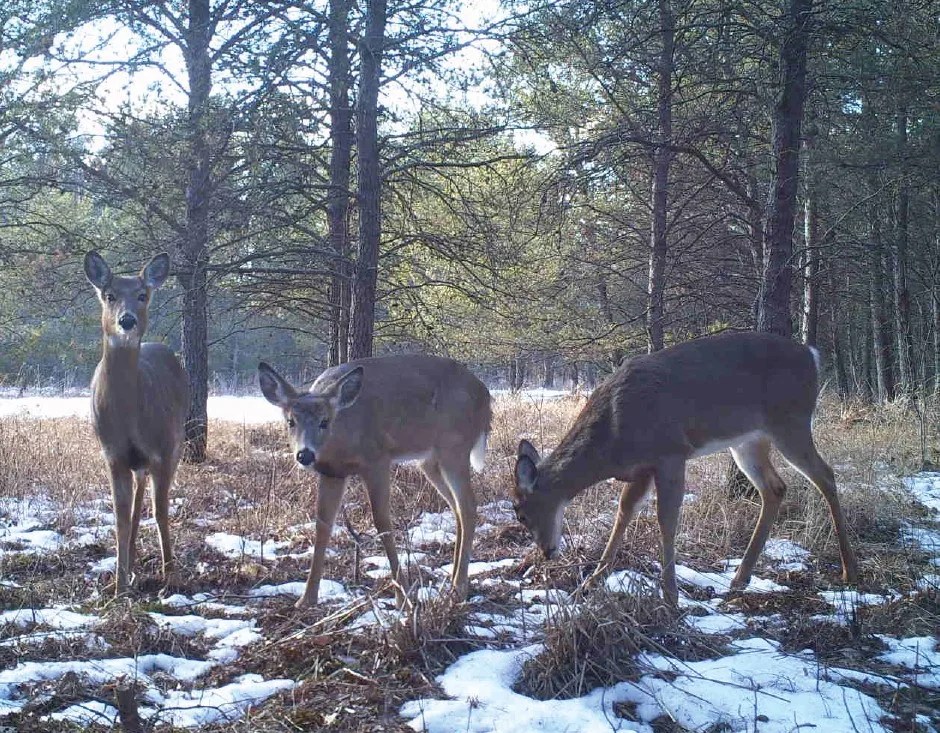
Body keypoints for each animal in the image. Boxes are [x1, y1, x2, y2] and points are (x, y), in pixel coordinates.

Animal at [85, 252, 192, 596]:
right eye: (110, 295)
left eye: (143, 295)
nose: (127, 320)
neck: (129, 416)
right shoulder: (113, 454)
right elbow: (119, 516)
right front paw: (119, 586)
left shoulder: (163, 450)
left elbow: (160, 511)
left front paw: (170, 576)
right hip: (139, 461)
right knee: (135, 502)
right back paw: (130, 567)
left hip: (177, 442)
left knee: (149, 501)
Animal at [258, 354, 492, 608]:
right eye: (290, 421)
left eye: (324, 421)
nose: (305, 455)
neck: (344, 437)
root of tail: (486, 395)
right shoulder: (332, 473)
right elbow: (322, 526)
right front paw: (306, 599)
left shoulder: (378, 460)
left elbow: (382, 522)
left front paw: (403, 596)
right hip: (430, 460)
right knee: (456, 508)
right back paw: (452, 582)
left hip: (454, 447)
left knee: (468, 506)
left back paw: (458, 589)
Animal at [516, 328, 860, 604]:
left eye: (520, 514)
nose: (547, 552)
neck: (612, 436)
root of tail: (812, 355)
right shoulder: (641, 466)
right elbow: (624, 511)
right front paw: (588, 584)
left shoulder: (670, 452)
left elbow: (666, 520)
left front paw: (670, 596)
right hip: (748, 440)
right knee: (775, 487)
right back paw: (739, 579)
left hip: (790, 421)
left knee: (826, 475)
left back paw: (850, 569)